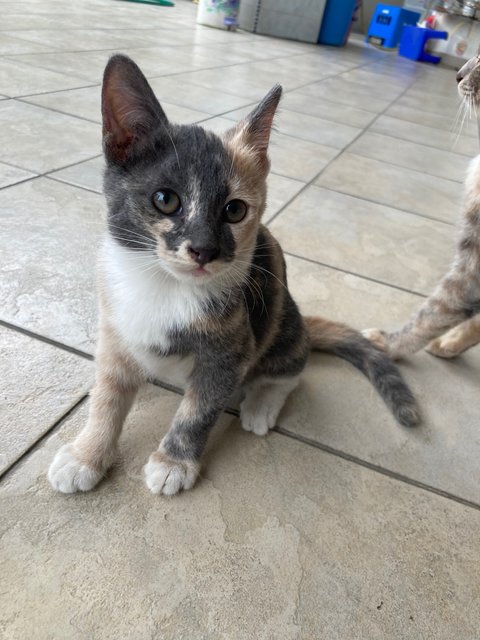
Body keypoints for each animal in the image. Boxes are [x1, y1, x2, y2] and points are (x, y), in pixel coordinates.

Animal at [47, 55, 418, 498]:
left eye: (235, 210)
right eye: (165, 199)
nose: (205, 249)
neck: (165, 286)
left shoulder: (230, 353)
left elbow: (197, 411)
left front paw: (174, 462)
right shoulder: (115, 331)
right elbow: (107, 395)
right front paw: (86, 454)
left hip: (282, 323)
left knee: (292, 371)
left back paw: (261, 404)